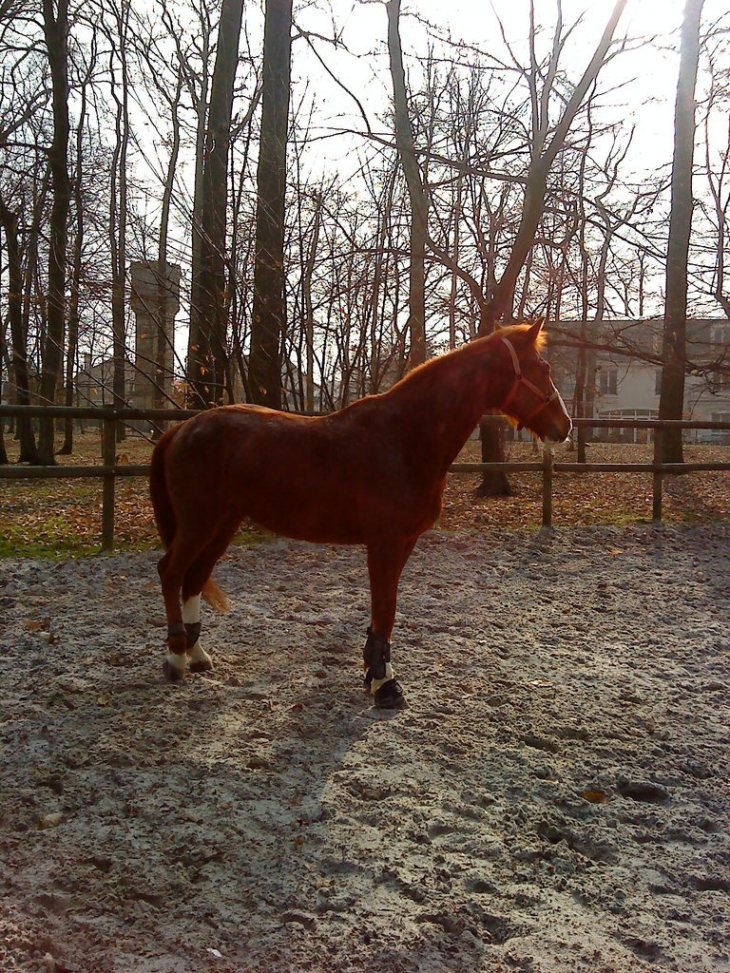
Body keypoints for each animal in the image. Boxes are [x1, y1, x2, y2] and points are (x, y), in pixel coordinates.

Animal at [146, 318, 568, 708]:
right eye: (542, 367)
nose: (564, 426)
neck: (404, 437)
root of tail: (184, 427)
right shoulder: (384, 542)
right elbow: (386, 608)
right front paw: (385, 684)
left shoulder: (404, 542)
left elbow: (386, 609)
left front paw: (375, 671)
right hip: (200, 523)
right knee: (171, 572)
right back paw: (176, 657)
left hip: (223, 523)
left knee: (194, 577)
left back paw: (197, 654)